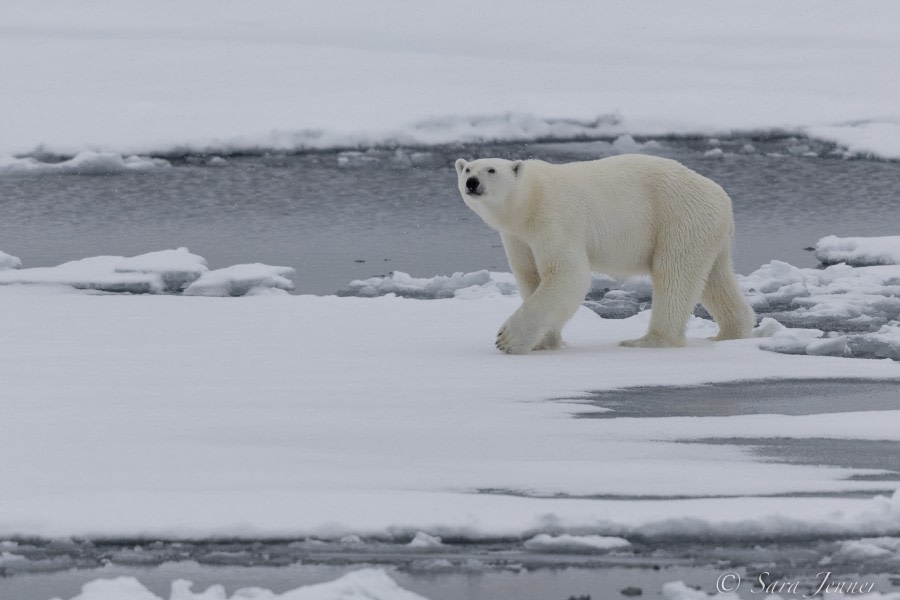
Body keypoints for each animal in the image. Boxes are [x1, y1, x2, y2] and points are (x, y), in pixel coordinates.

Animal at [454, 152, 756, 354]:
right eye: (467, 168)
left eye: (491, 170)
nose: (472, 182)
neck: (527, 201)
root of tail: (722, 198)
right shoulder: (518, 237)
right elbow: (530, 276)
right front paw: (545, 343)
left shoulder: (554, 217)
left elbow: (567, 273)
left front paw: (507, 339)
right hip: (706, 231)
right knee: (715, 278)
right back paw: (729, 333)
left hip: (678, 218)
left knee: (674, 276)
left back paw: (647, 340)